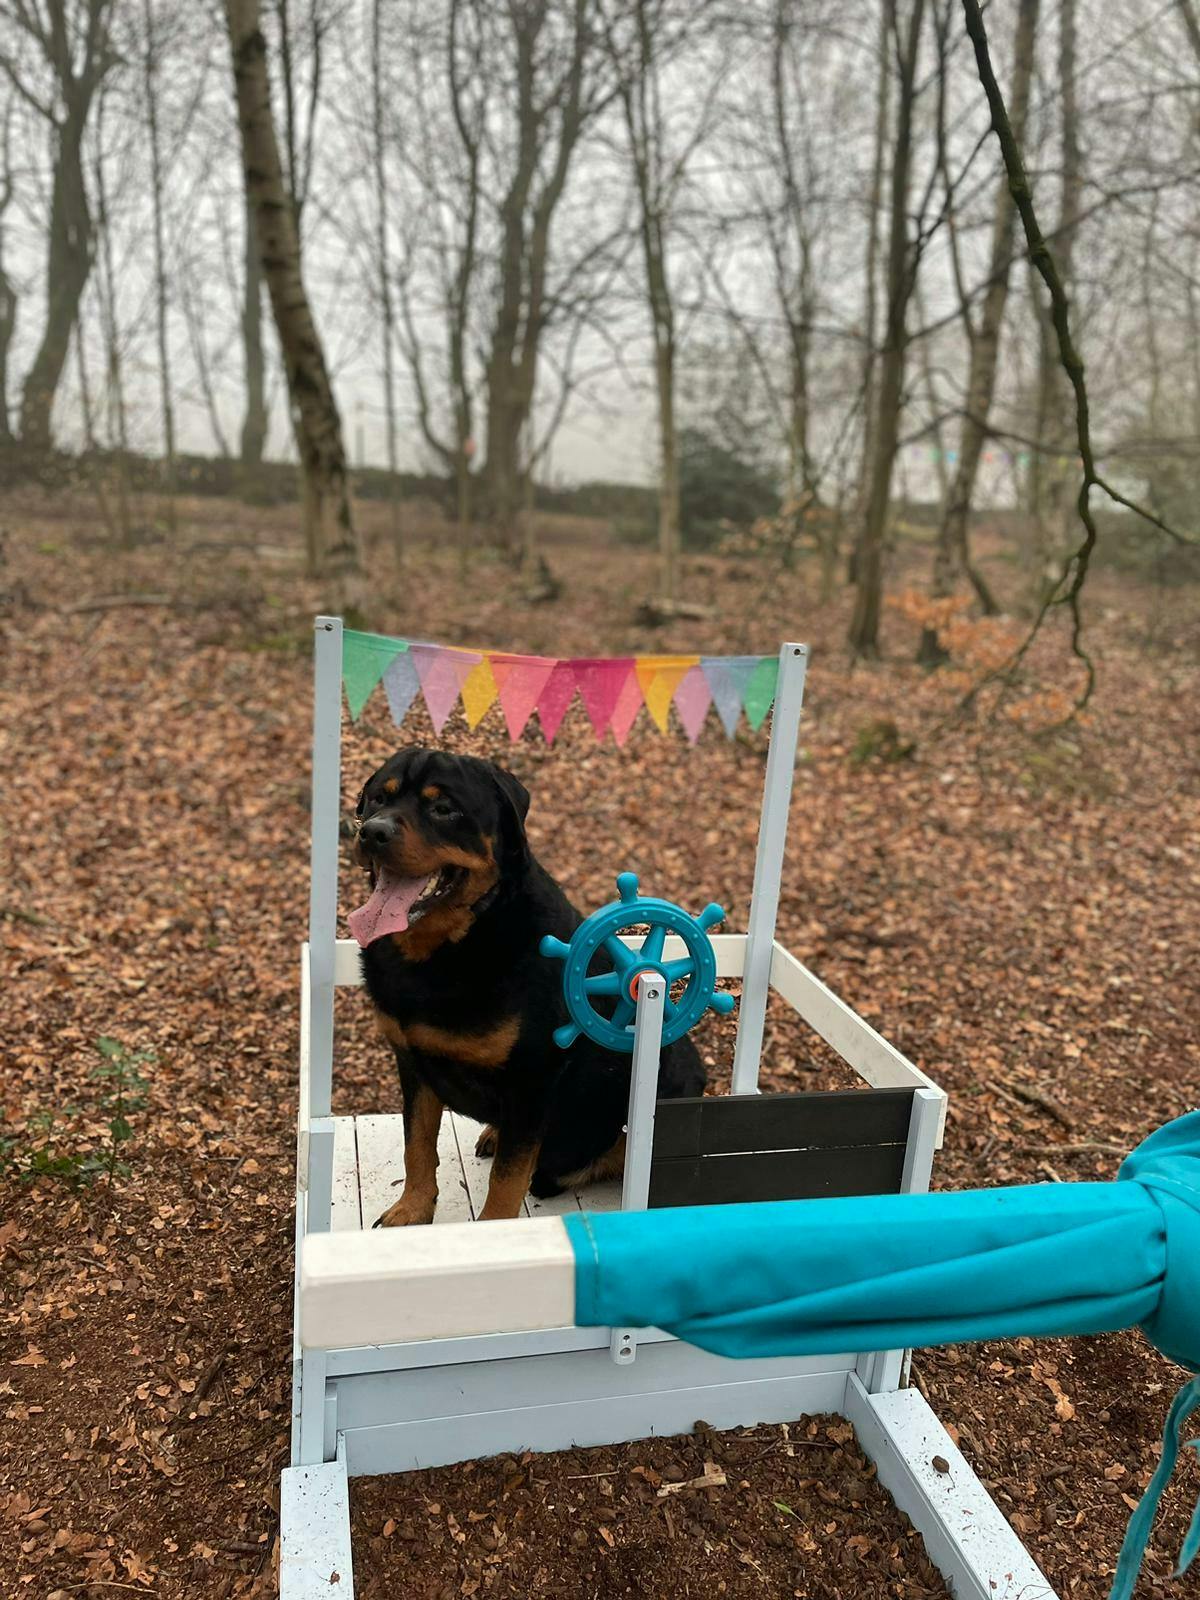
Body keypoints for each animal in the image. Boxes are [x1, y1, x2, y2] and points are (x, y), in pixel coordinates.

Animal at [349, 747, 706, 1225]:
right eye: (376, 799)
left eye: (443, 808)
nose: (372, 831)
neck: (452, 946)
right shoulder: (412, 1062)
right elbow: (417, 1145)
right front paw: (412, 1208)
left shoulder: (532, 1079)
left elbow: (507, 1178)